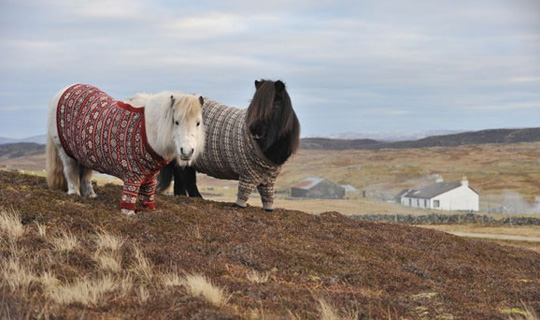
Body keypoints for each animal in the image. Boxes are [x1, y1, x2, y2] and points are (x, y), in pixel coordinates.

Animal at [47, 85, 205, 215]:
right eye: (176, 122)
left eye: (198, 123)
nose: (187, 152)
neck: (148, 130)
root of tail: (63, 91)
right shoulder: (132, 174)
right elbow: (130, 196)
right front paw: (129, 213)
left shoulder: (151, 176)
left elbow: (148, 195)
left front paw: (148, 210)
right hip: (66, 153)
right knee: (71, 172)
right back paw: (74, 194)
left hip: (85, 155)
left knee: (85, 175)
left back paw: (91, 195)